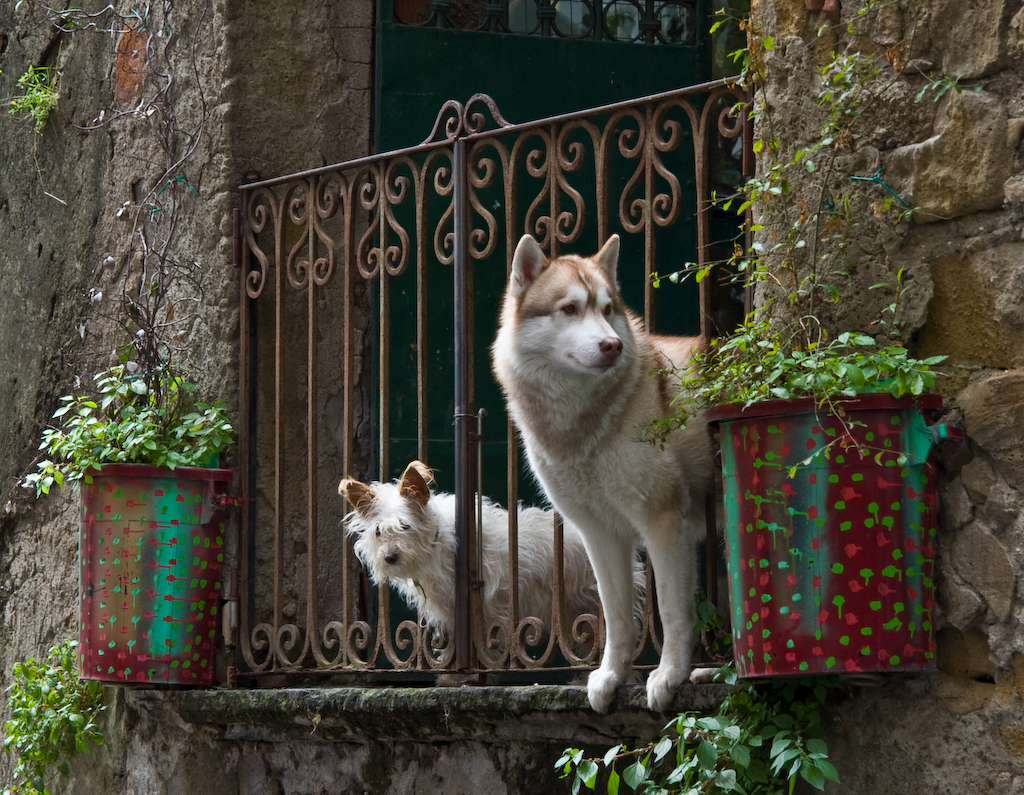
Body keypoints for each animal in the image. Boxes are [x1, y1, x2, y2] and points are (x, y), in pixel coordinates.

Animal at [491, 232, 708, 713]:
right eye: (570, 309)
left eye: (608, 309)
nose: (613, 346)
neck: (587, 426)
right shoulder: (599, 533)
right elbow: (616, 615)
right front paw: (611, 676)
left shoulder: (664, 521)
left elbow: (671, 610)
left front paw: (669, 675)